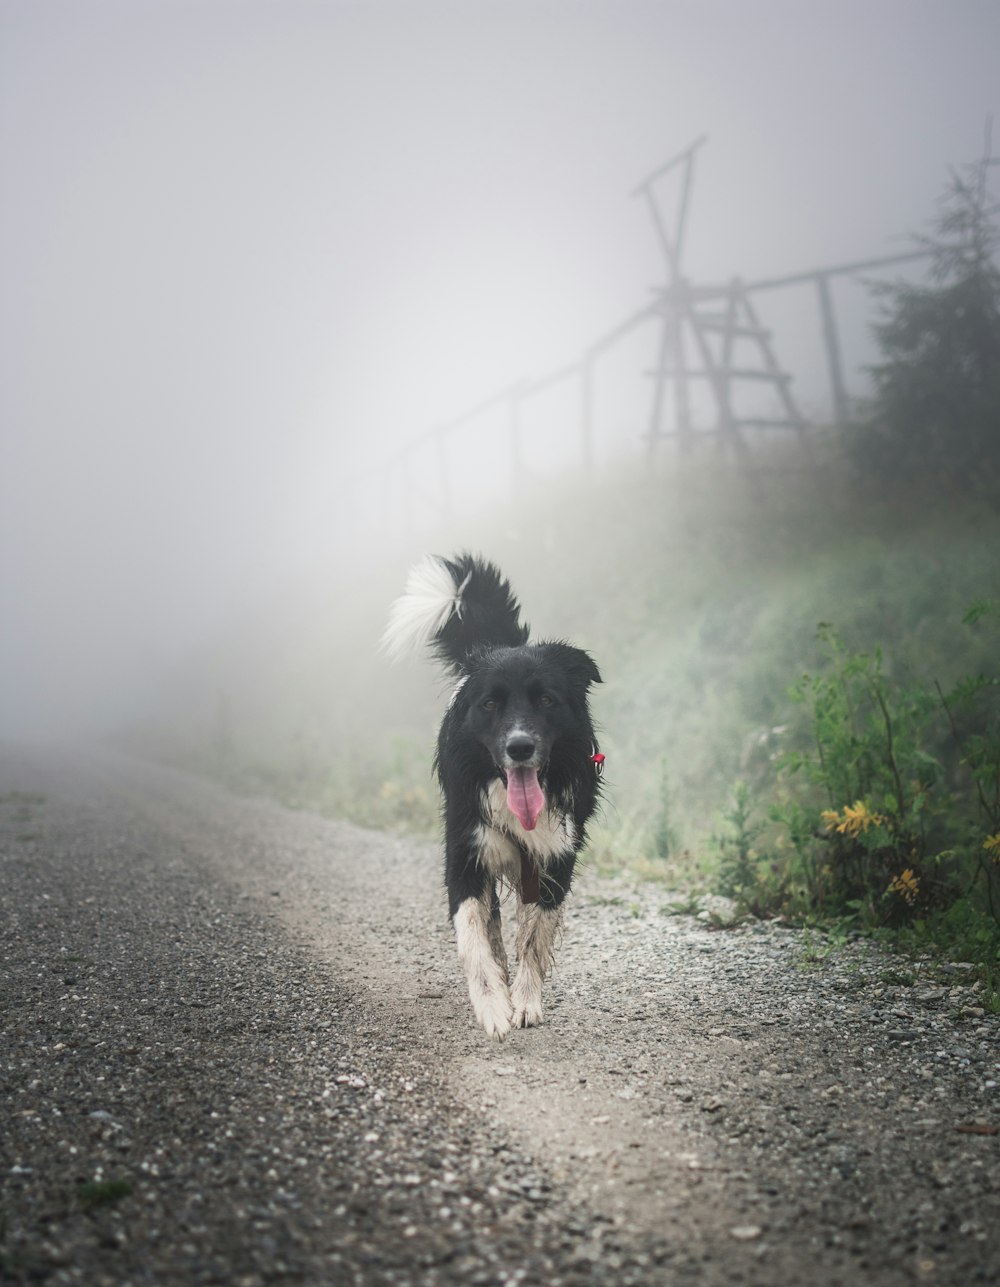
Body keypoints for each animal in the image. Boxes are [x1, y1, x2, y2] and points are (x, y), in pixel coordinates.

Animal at [383, 553, 599, 1034]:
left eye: (546, 700)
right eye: (490, 704)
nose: (519, 748)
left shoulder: (556, 856)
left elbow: (535, 937)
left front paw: (525, 1001)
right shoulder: (465, 853)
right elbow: (473, 937)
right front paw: (494, 1006)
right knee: (493, 922)